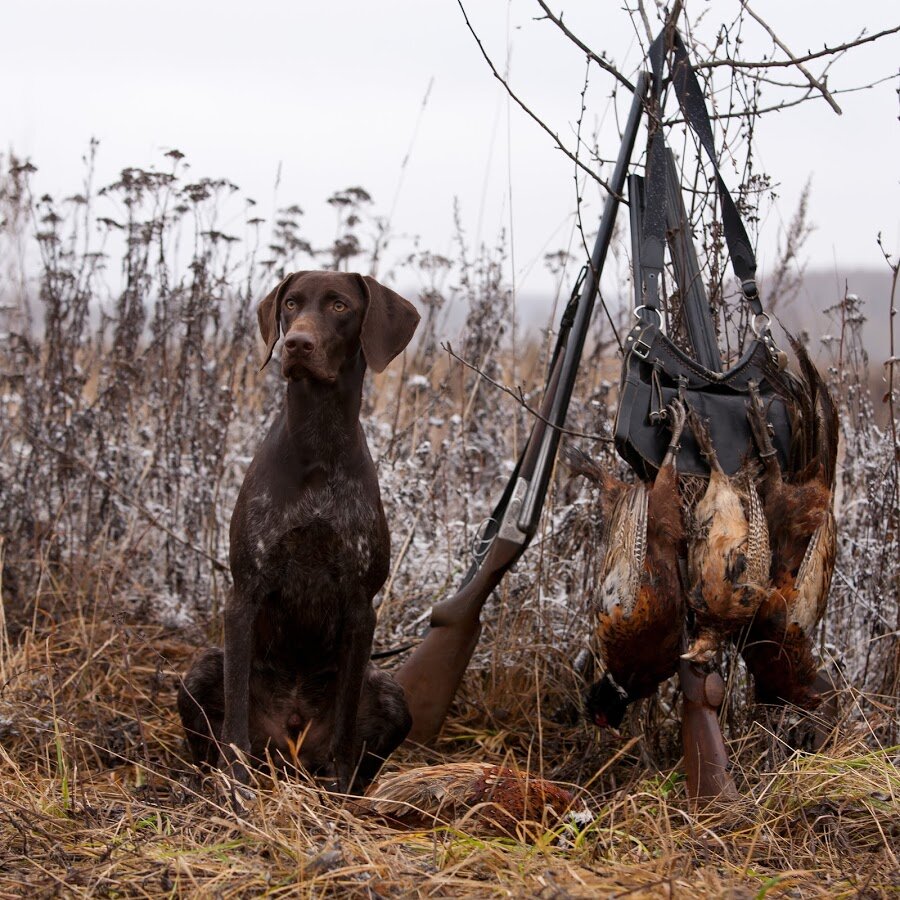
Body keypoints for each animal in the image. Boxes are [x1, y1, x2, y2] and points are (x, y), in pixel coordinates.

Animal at [178, 268, 420, 796]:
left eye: (339, 306)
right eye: (291, 303)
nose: (297, 344)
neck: (318, 441)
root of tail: (290, 746)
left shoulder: (361, 607)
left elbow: (346, 726)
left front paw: (341, 793)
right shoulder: (244, 594)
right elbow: (235, 722)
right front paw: (236, 790)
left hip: (391, 691)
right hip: (199, 671)